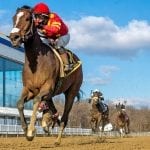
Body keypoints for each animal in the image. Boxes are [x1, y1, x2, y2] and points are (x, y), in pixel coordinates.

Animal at [9, 5, 83, 145]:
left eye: (27, 18)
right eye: (13, 18)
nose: (14, 37)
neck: (36, 63)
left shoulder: (47, 87)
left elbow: (36, 101)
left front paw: (31, 132)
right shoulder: (29, 89)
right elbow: (19, 103)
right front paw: (25, 129)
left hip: (71, 92)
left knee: (65, 117)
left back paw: (57, 140)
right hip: (51, 94)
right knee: (53, 109)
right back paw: (50, 120)